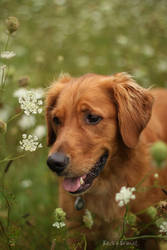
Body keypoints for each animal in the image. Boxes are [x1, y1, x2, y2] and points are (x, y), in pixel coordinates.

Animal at [45, 72, 167, 248]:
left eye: (92, 117)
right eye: (56, 119)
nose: (54, 163)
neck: (107, 184)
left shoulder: (153, 232)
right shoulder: (76, 234)